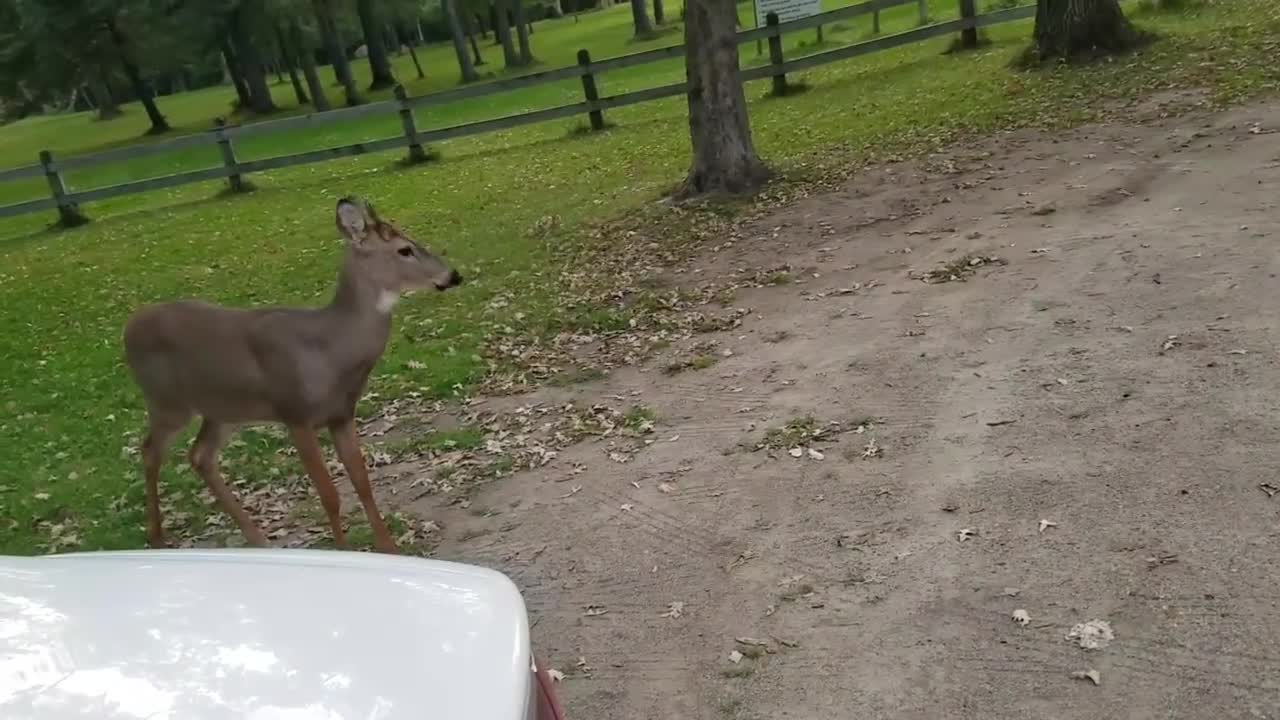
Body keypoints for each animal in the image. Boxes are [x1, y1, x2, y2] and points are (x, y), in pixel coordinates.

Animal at [122, 196, 463, 556]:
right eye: (404, 249)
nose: (453, 275)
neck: (330, 350)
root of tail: (128, 328)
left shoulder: (341, 414)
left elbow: (363, 482)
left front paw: (390, 549)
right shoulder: (295, 413)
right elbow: (329, 495)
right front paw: (342, 551)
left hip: (223, 409)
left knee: (200, 456)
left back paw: (257, 538)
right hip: (167, 401)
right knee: (150, 450)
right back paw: (157, 537)